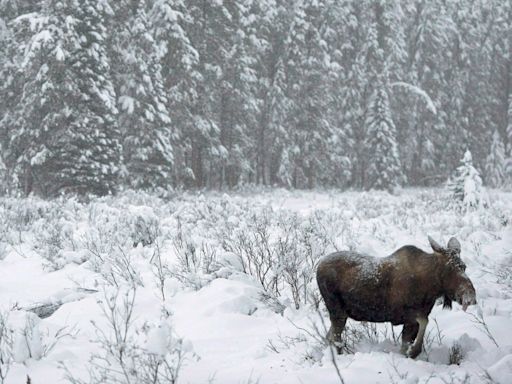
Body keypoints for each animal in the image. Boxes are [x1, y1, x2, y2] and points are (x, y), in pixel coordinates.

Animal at [316, 236, 476, 358]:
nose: (471, 297)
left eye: (464, 266)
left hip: (339, 314)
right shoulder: (409, 315)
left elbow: (408, 340)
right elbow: (423, 324)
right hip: (337, 311)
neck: (431, 287)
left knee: (329, 336)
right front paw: (414, 351)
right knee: (335, 338)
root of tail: (318, 266)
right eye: (448, 268)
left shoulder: (413, 319)